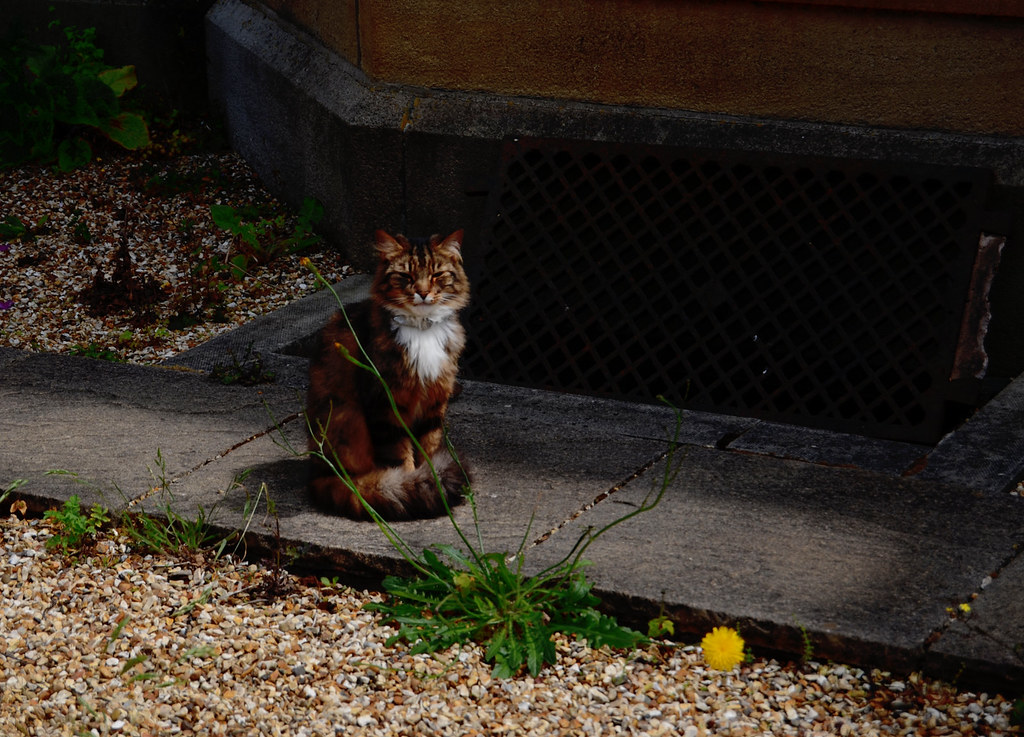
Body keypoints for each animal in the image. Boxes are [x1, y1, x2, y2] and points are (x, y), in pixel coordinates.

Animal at [305, 227, 473, 522]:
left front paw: (432, 478)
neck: (422, 330)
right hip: (347, 418)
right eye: (406, 277)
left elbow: (428, 449)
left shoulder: (435, 403)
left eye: (436, 275)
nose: (423, 293)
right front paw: (412, 482)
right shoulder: (385, 406)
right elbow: (401, 458)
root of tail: (317, 473)